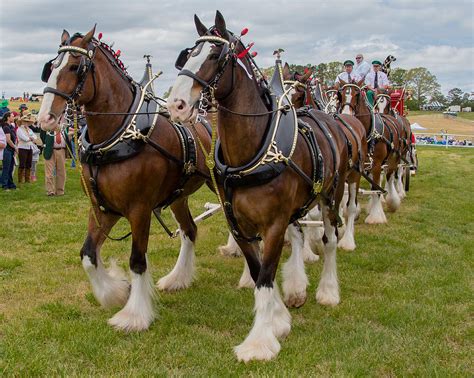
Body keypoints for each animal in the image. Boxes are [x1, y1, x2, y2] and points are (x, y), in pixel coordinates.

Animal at [37, 28, 213, 332]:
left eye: (74, 67)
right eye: (51, 67)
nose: (45, 117)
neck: (118, 135)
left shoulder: (139, 210)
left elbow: (137, 261)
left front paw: (134, 315)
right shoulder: (103, 208)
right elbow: (87, 255)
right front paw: (115, 292)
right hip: (178, 196)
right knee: (189, 230)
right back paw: (177, 279)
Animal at [168, 11, 354, 360]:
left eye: (215, 55)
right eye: (188, 55)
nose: (176, 104)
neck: (252, 149)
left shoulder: (274, 222)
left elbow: (267, 275)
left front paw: (260, 341)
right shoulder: (238, 223)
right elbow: (257, 273)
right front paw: (278, 318)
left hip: (331, 195)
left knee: (329, 239)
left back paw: (327, 291)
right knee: (299, 236)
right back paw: (296, 288)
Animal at [338, 82, 402, 224]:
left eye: (357, 94)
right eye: (340, 94)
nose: (346, 115)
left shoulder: (377, 164)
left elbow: (376, 189)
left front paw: (376, 216)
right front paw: (355, 212)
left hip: (393, 159)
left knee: (390, 177)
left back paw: (393, 200)